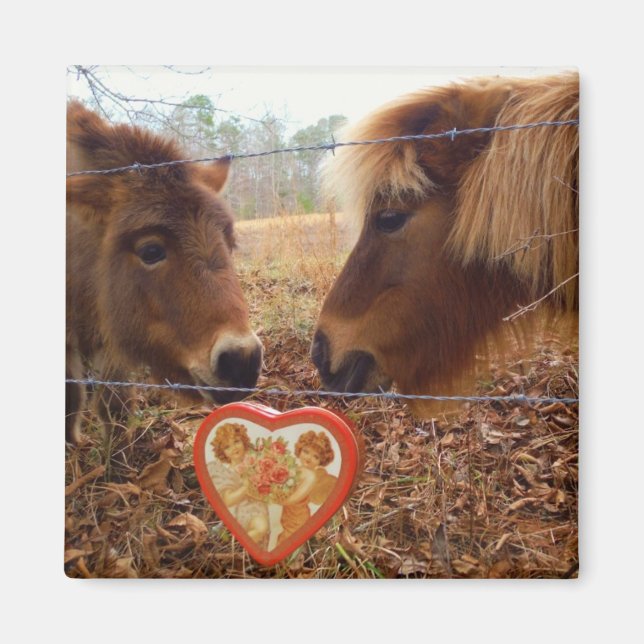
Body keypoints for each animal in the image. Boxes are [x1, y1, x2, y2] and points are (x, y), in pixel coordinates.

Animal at [66, 101, 263, 444]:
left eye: (231, 243)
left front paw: (119, 450)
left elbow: (114, 402)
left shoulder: (112, 332)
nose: (241, 361)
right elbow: (71, 400)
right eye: (150, 251)